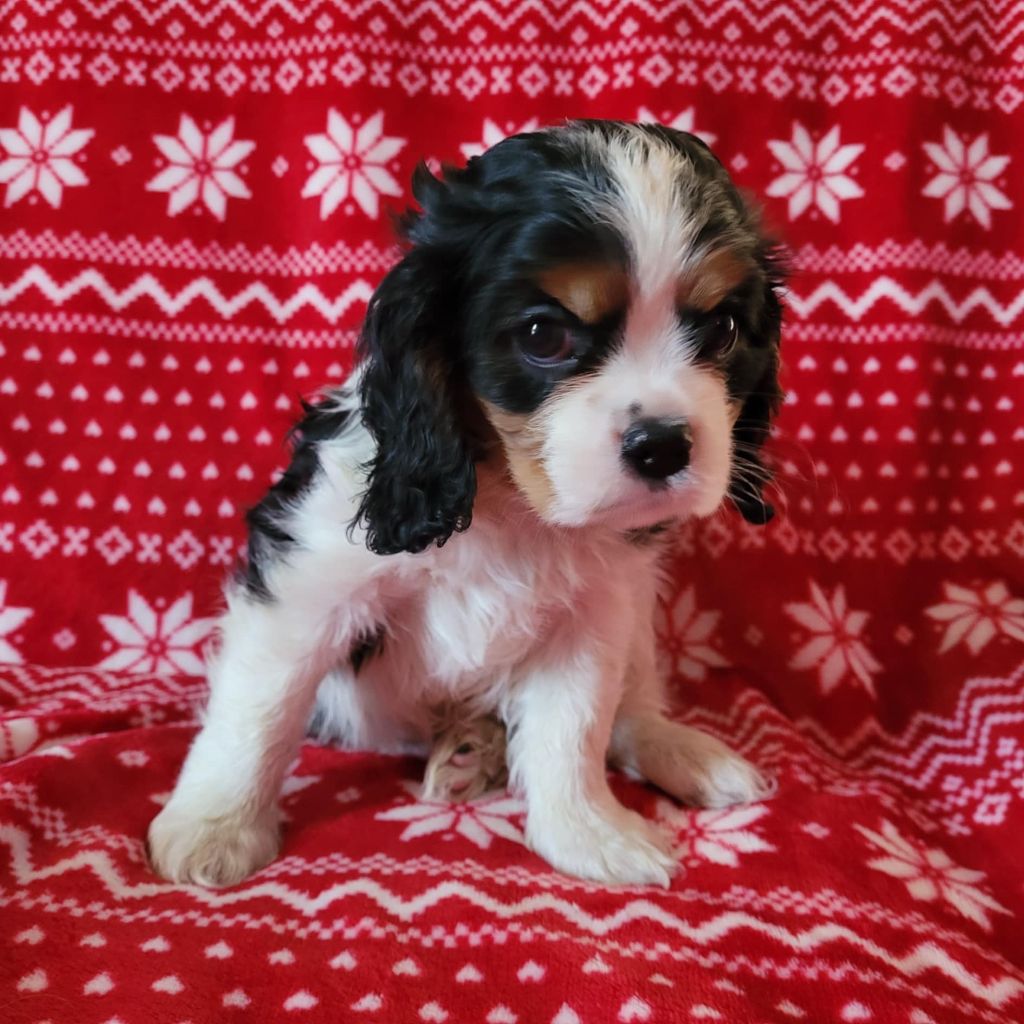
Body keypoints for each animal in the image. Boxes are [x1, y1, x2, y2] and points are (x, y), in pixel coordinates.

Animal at [146, 119, 782, 888]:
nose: (662, 444)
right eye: (543, 335)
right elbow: (260, 707)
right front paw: (213, 826)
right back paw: (470, 750)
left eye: (722, 331)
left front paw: (587, 831)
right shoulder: (306, 581)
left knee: (632, 707)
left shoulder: (593, 614)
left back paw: (676, 752)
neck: (506, 494)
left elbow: (574, 727)